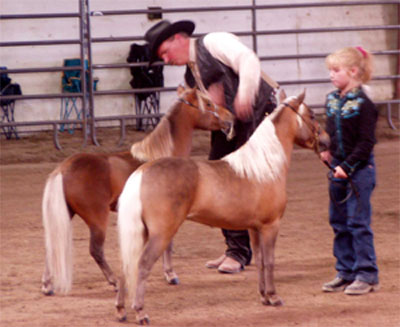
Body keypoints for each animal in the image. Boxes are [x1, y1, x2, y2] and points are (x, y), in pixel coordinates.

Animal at [40, 88, 234, 298]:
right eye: (208, 103)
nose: (229, 117)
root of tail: (62, 170)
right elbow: (168, 244)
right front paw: (171, 275)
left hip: (67, 213)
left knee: (52, 246)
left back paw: (47, 285)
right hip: (97, 218)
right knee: (96, 250)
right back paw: (115, 282)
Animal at [115, 90, 328, 326]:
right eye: (312, 115)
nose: (326, 140)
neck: (265, 166)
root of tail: (142, 171)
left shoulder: (254, 228)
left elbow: (260, 261)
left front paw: (264, 296)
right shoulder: (270, 226)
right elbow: (270, 261)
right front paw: (274, 297)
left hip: (142, 233)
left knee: (127, 265)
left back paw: (121, 310)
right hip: (160, 235)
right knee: (141, 264)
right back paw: (140, 312)